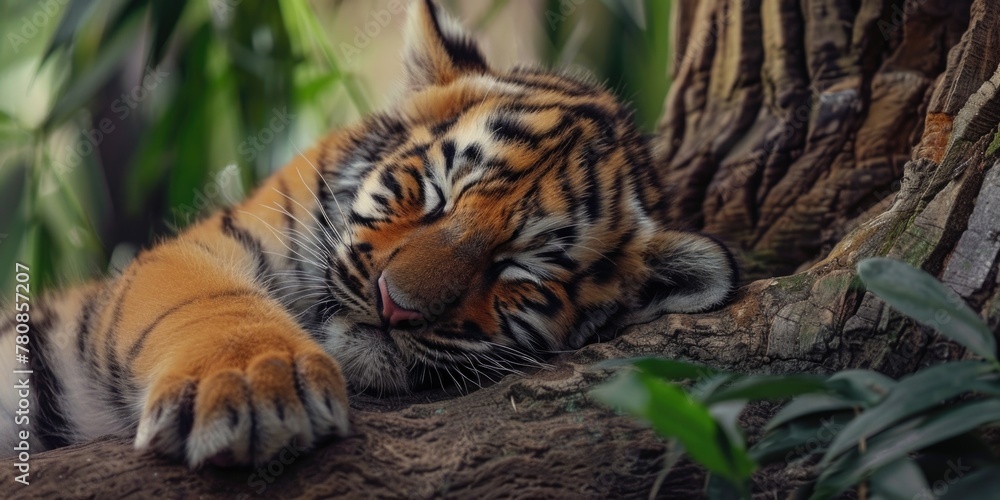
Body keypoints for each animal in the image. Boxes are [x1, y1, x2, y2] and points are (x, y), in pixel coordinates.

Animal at [0, 0, 737, 468]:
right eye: (435, 195)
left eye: (516, 269)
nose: (394, 307)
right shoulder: (201, 248)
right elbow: (209, 303)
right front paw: (255, 389)